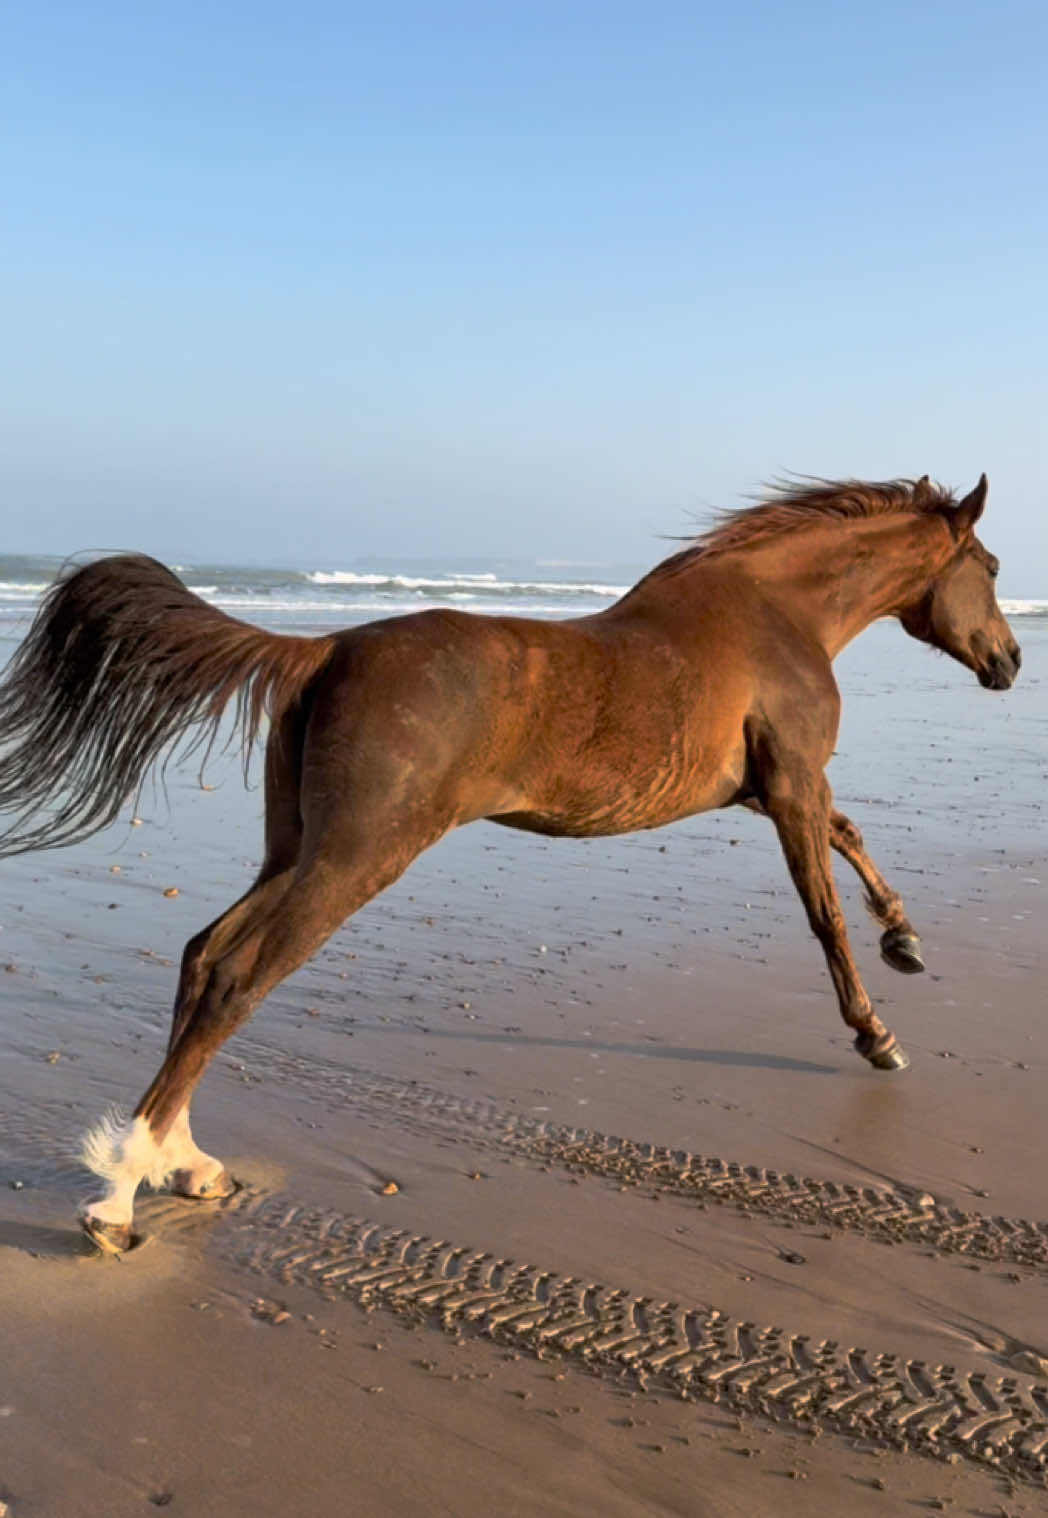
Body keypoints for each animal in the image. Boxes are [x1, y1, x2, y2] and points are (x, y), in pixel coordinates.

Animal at [0, 473, 1020, 1254]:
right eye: (994, 568)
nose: (1008, 661)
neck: (776, 615)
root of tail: (325, 649)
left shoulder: (775, 789)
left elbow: (852, 841)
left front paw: (906, 939)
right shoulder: (793, 785)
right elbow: (824, 911)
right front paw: (876, 1031)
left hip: (294, 850)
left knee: (202, 954)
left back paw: (186, 1165)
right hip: (355, 857)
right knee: (234, 978)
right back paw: (117, 1198)